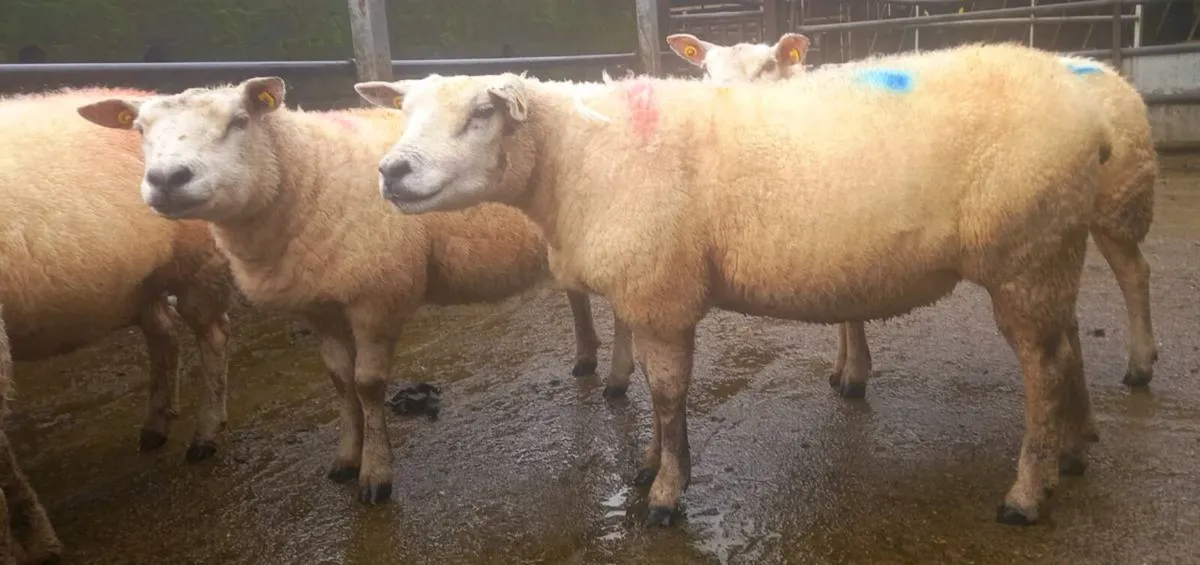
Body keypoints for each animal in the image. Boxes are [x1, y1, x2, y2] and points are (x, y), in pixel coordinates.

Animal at [0, 87, 235, 462]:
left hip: (198, 264)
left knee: (213, 335)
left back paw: (205, 435)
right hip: (139, 281)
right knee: (164, 333)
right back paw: (156, 426)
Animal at [75, 76, 631, 505]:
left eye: (239, 120)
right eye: (140, 130)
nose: (168, 179)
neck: (308, 174)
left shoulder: (376, 298)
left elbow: (367, 386)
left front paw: (375, 477)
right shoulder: (319, 305)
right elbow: (340, 382)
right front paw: (346, 459)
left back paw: (617, 380)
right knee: (578, 294)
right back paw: (586, 357)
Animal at [353, 41, 1117, 527]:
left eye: (480, 114)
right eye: (405, 111)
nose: (391, 172)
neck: (579, 159)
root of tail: (1091, 115)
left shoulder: (662, 290)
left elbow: (667, 396)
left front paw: (666, 494)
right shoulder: (648, 294)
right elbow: (657, 395)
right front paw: (648, 468)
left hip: (1025, 253)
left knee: (1044, 366)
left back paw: (1027, 492)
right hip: (1051, 250)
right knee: (1068, 345)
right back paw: (1073, 452)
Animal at [667, 34, 1160, 395]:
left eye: (767, 66)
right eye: (704, 69)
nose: (722, 106)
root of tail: (1110, 71)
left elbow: (851, 312)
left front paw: (854, 373)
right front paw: (843, 366)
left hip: (1120, 201)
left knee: (1135, 274)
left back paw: (1140, 365)